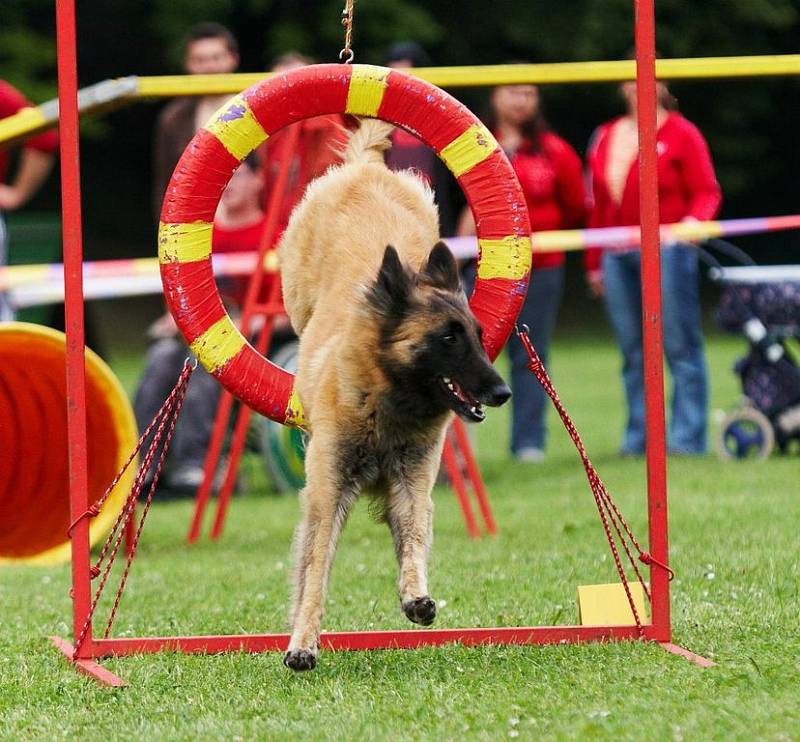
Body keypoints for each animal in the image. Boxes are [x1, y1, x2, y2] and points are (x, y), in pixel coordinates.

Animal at [278, 117, 510, 676]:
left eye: (476, 335)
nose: (503, 391)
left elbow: (414, 539)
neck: (387, 403)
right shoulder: (327, 491)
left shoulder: (412, 480)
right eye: (447, 338)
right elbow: (315, 570)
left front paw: (416, 596)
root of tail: (364, 169)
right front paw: (302, 642)